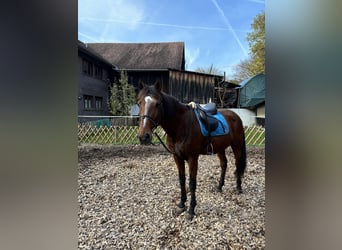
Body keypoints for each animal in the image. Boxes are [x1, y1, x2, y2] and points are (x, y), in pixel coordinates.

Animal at [136, 81, 246, 219]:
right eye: (139, 102)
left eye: (158, 103)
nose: (143, 137)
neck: (180, 125)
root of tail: (236, 116)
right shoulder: (177, 157)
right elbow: (182, 180)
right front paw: (181, 204)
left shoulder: (192, 158)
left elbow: (192, 183)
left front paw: (191, 210)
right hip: (220, 148)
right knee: (224, 164)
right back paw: (219, 187)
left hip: (236, 146)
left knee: (238, 164)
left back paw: (238, 187)